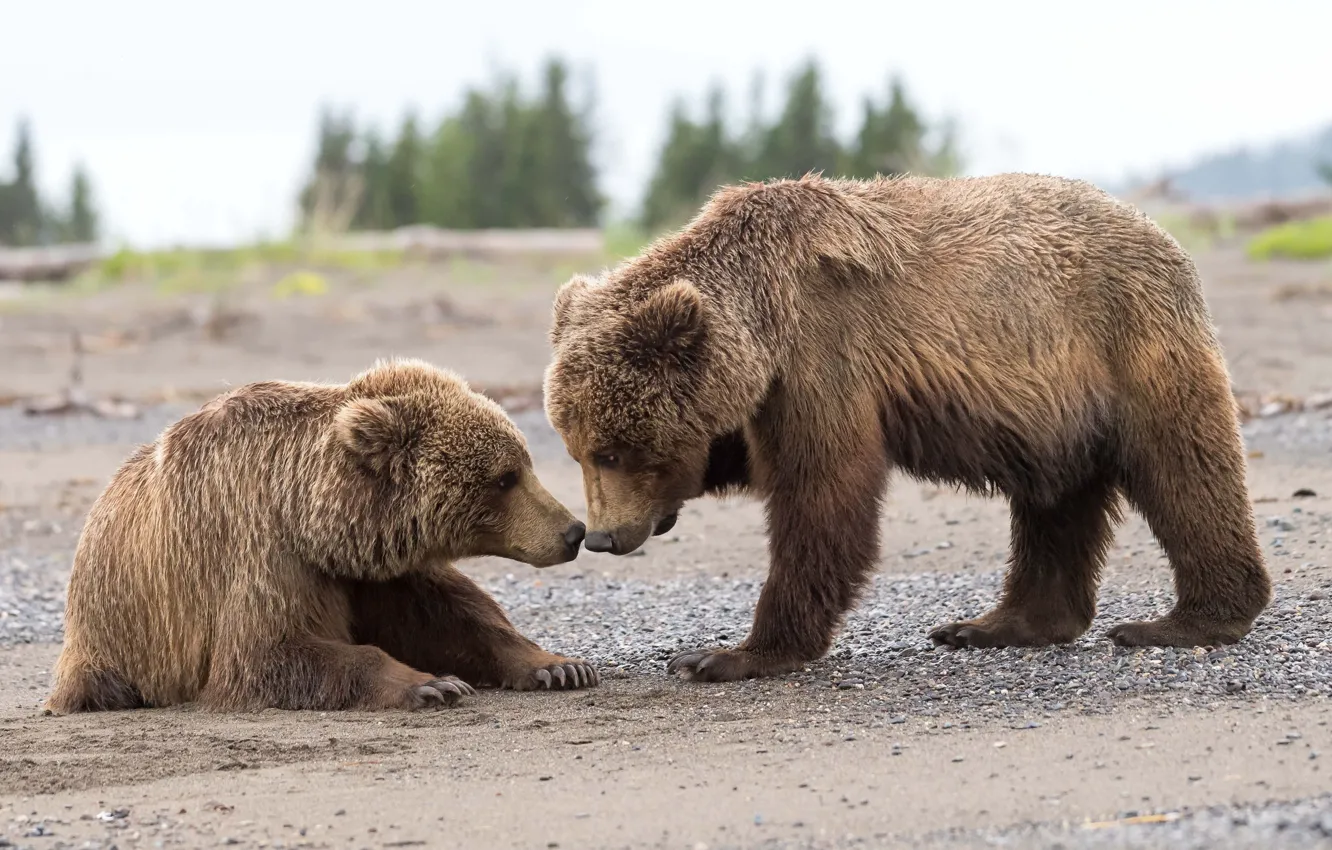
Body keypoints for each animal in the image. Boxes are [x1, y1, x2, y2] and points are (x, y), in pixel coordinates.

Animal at [46, 357, 599, 713]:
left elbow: (452, 617)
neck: (309, 515)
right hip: (117, 637)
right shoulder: (263, 553)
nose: (572, 530)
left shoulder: (368, 569)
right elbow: (267, 652)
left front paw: (559, 666)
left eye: (523, 464)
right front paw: (431, 684)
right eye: (505, 478)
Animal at [542, 172, 1273, 683]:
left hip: (1128, 342)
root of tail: (1164, 237)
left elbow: (821, 495)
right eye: (577, 450)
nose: (603, 536)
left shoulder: (824, 357)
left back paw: (1184, 621)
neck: (763, 316)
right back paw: (996, 623)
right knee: (1054, 505)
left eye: (612, 450)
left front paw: (728, 654)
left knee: (1184, 468)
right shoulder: (770, 388)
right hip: (1055, 411)